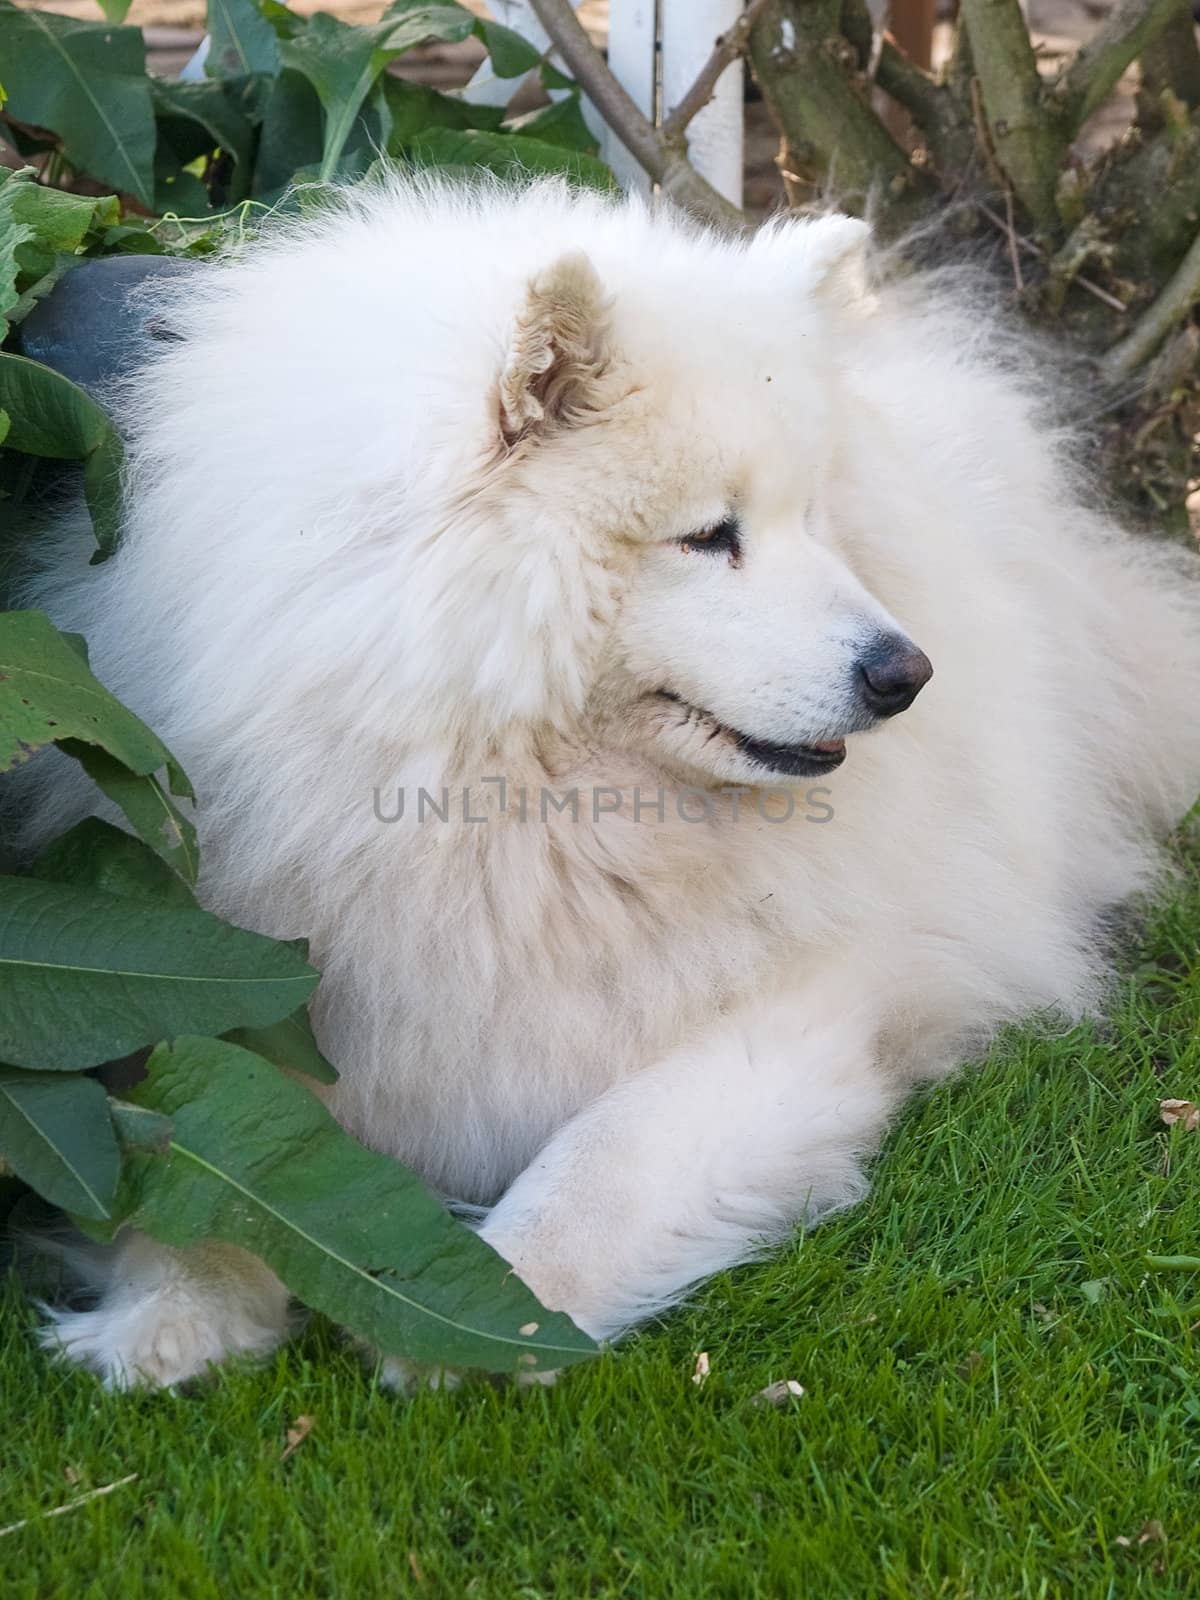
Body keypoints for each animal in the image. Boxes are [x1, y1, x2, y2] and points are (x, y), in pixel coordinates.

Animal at [16, 178, 1200, 1388]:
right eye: (708, 536)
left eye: (814, 520)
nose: (904, 674)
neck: (532, 816)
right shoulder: (278, 981)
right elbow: (216, 1148)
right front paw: (168, 1309)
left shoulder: (800, 1011)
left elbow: (601, 1163)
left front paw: (496, 1312)